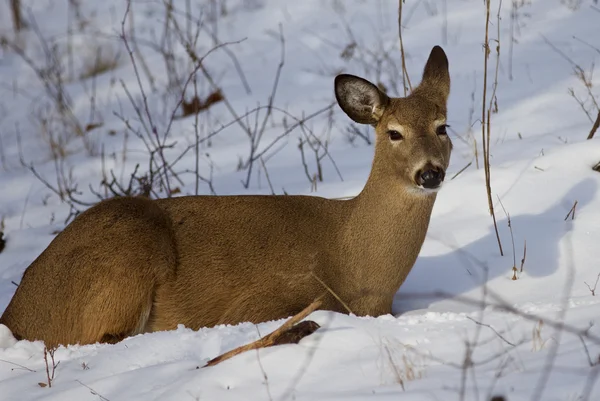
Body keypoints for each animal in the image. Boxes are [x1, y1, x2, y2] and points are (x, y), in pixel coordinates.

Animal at [0, 46, 450, 346]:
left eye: (442, 126)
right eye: (394, 133)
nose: (430, 172)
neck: (355, 265)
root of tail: (16, 313)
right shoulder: (265, 301)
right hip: (125, 254)